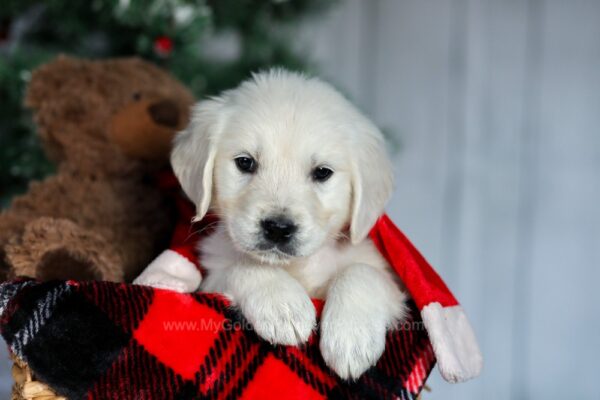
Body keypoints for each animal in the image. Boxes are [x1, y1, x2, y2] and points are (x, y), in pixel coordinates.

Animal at [137, 70, 408, 380]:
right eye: (245, 162)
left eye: (322, 172)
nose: (278, 228)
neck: (297, 267)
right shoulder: (212, 276)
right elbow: (246, 265)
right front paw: (283, 306)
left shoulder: (393, 283)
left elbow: (362, 272)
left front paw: (351, 337)